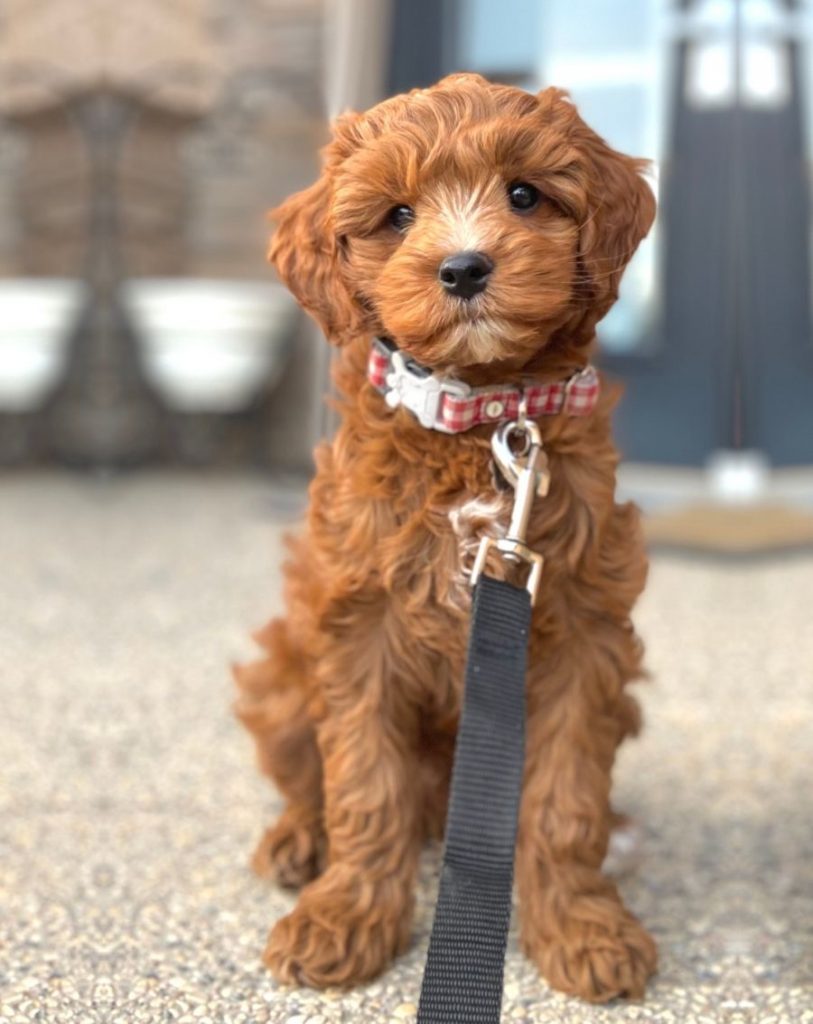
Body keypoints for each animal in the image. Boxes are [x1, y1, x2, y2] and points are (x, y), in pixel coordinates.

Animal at [232, 75, 651, 1003]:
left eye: (524, 195)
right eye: (395, 215)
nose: (462, 267)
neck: (480, 418)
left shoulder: (584, 631)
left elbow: (565, 797)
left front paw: (580, 927)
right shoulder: (358, 624)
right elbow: (364, 783)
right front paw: (344, 919)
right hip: (281, 666)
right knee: (307, 777)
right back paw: (296, 841)